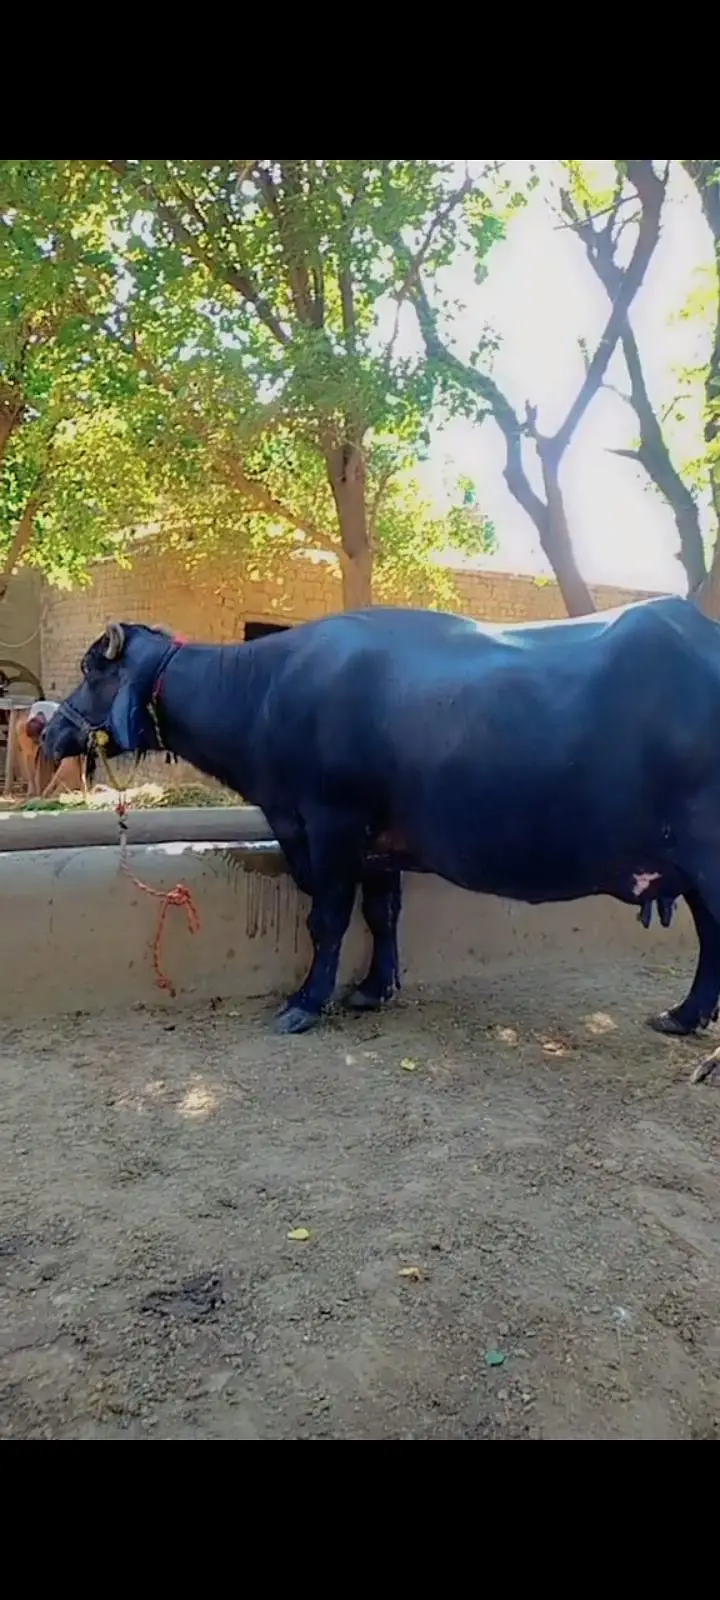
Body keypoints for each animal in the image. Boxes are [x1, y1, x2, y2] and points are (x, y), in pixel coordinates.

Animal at [42, 599, 720, 1080]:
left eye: (90, 670)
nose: (46, 731)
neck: (265, 692)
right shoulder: (377, 843)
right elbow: (382, 911)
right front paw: (374, 988)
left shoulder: (329, 822)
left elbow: (328, 919)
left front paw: (305, 1003)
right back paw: (683, 1017)